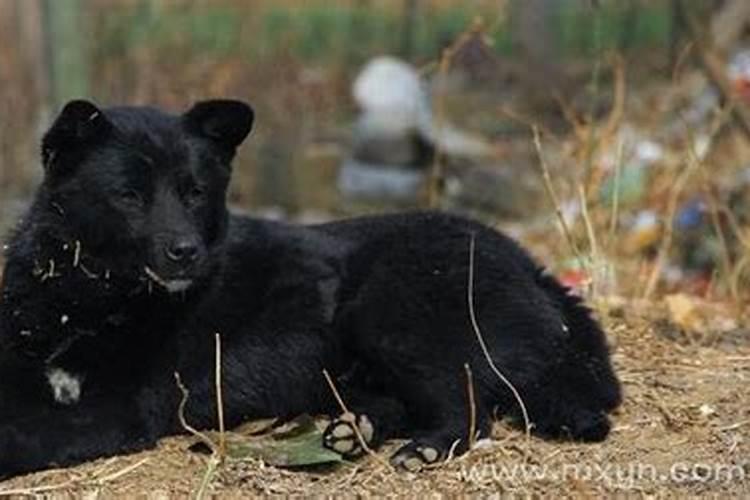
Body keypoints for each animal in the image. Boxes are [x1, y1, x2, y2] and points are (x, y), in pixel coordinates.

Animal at [0, 99, 624, 478]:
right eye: (129, 196)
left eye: (195, 192)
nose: (186, 253)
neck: (80, 302)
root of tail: (532, 266)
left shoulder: (116, 410)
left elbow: (22, 436)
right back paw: (354, 429)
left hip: (389, 312)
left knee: (470, 403)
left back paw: (420, 447)